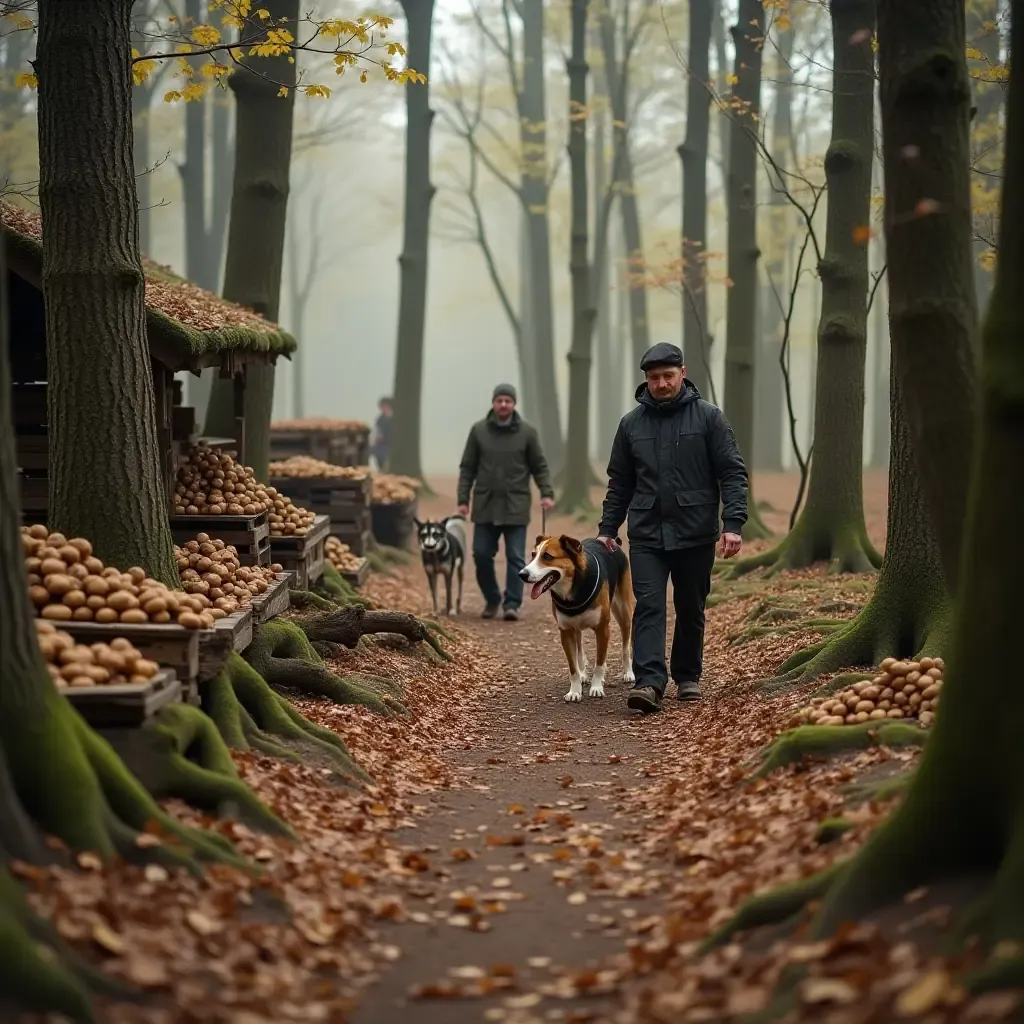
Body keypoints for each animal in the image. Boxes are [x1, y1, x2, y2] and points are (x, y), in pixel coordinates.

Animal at [520, 532, 630, 700]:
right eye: (533, 555)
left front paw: (596, 687)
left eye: (547, 556)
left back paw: (628, 673)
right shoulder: (566, 632)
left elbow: (599, 662)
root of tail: (614, 545)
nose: (522, 574)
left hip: (624, 612)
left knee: (626, 646)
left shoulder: (602, 629)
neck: (573, 589)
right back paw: (583, 674)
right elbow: (573, 667)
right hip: (576, 627)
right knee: (579, 651)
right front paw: (575, 691)